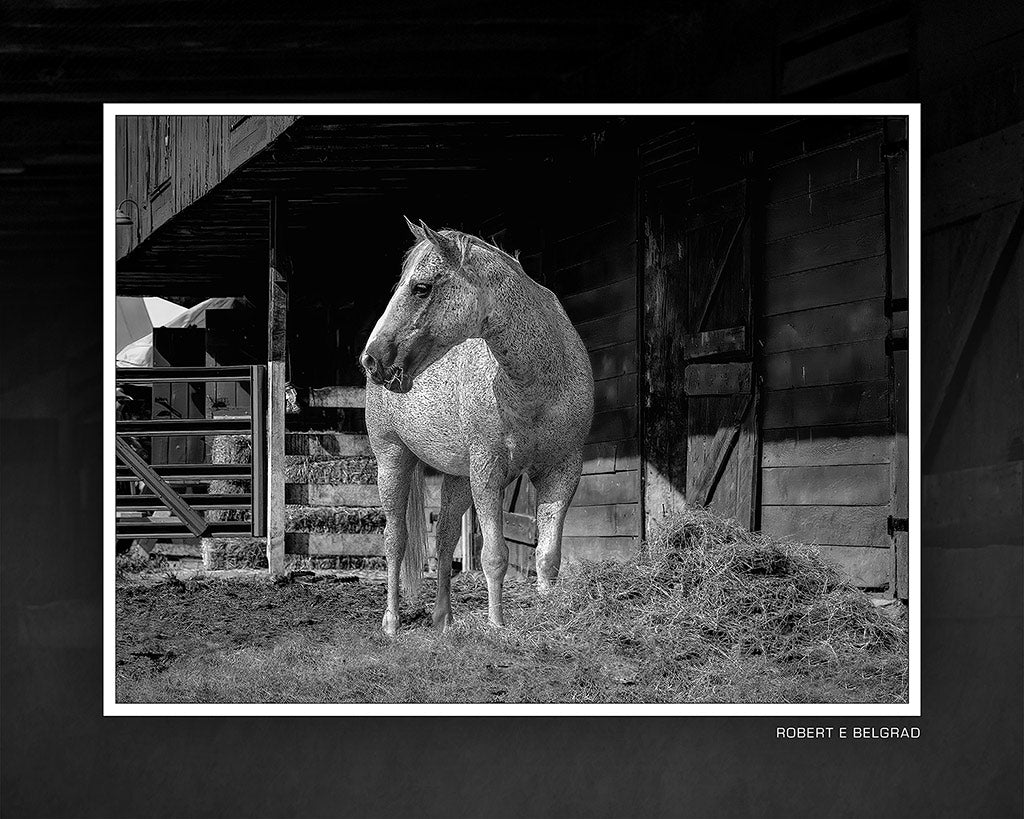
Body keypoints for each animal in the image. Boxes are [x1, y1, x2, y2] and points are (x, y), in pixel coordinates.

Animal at [362, 217, 598, 634]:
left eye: (421, 287)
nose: (372, 358)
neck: (535, 384)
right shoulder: (489, 471)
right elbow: (494, 555)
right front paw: (497, 626)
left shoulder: (563, 471)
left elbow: (547, 555)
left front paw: (549, 616)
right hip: (392, 461)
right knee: (395, 539)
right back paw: (391, 621)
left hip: (458, 477)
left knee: (444, 538)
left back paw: (444, 620)